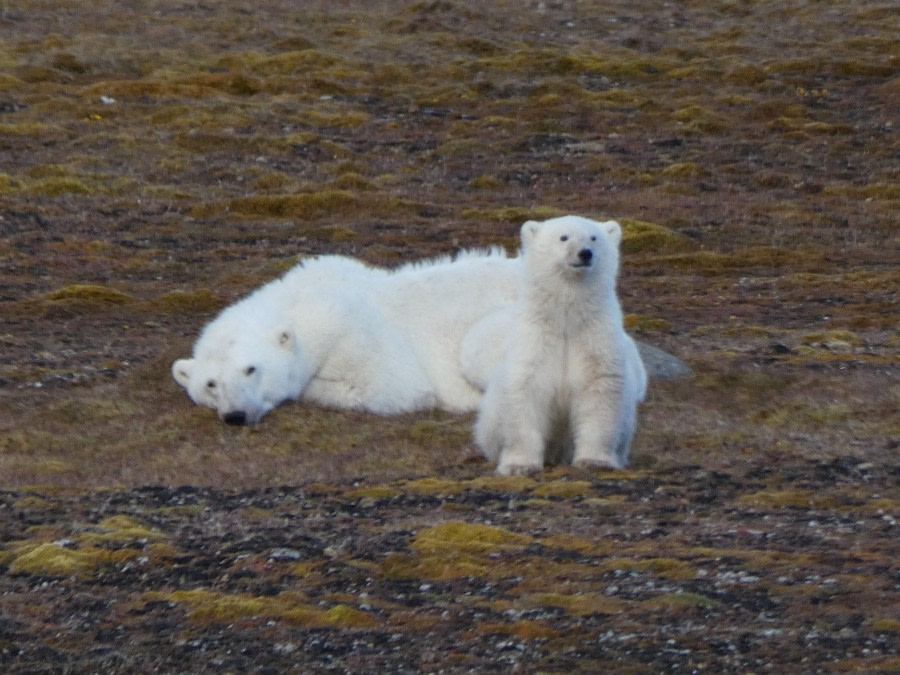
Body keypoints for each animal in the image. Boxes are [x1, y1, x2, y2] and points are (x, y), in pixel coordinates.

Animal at [474, 217, 644, 476]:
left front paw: (594, 461)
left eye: (593, 237)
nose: (585, 253)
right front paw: (519, 465)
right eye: (563, 237)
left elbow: (598, 394)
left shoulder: (596, 338)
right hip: (491, 414)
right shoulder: (535, 341)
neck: (566, 320)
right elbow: (526, 392)